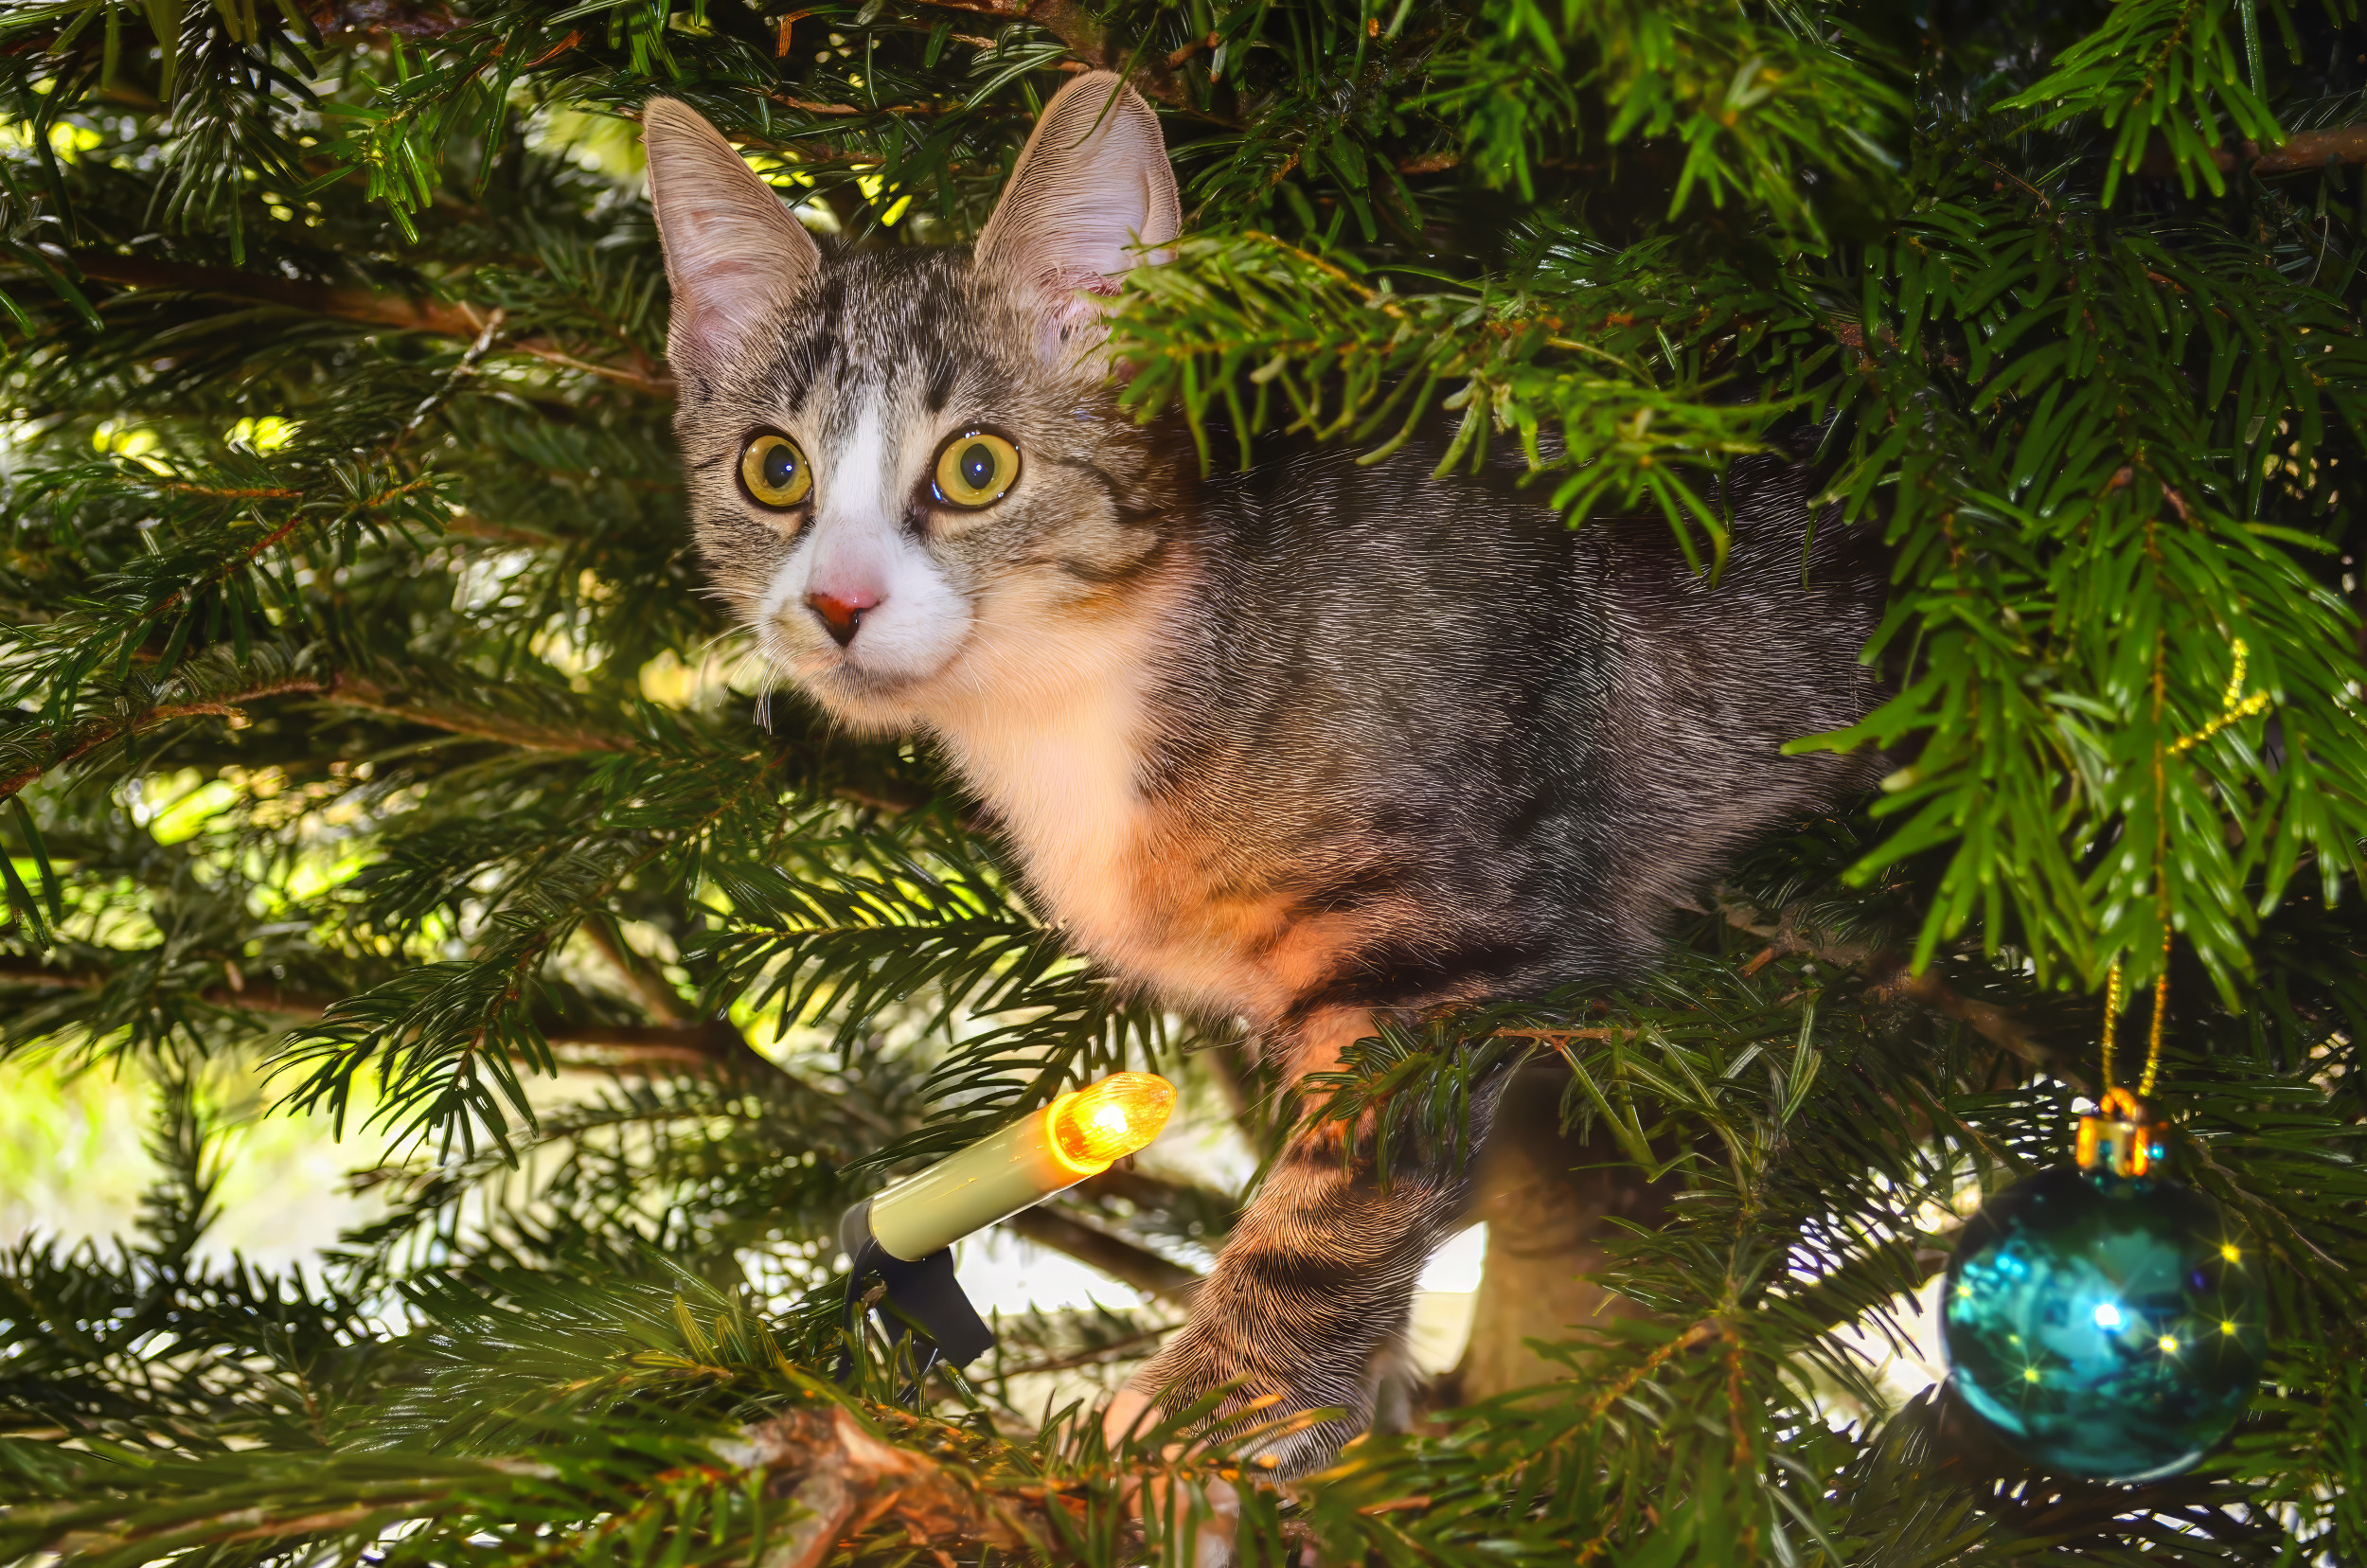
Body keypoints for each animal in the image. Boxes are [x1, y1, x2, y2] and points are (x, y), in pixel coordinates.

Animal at [639, 70, 1875, 1477]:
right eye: (772, 469)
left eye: (977, 468)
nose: (837, 606)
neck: (1087, 680)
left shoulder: (1443, 949)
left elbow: (1340, 1199)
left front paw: (1222, 1407)